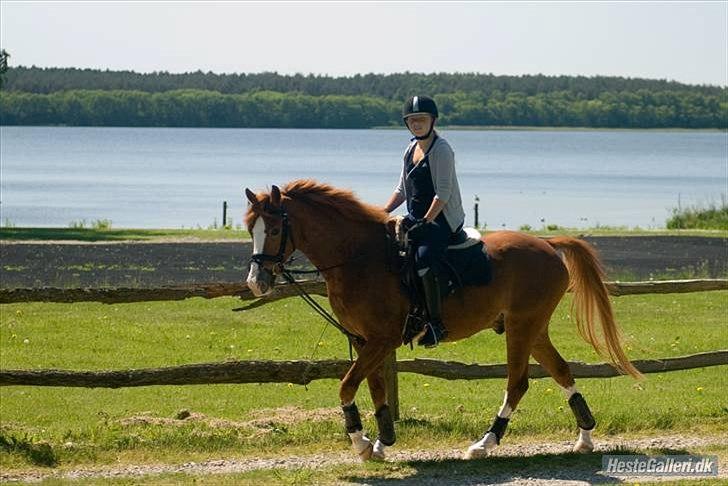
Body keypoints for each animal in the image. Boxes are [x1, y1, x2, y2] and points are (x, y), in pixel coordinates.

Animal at [245, 180, 636, 462]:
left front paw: (361, 443)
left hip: (522, 328)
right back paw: (585, 438)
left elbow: (346, 386)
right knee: (562, 371)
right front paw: (382, 441)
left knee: (518, 383)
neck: (359, 258)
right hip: (533, 329)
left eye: (275, 231)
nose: (256, 282)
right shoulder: (364, 340)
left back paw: (485, 443)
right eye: (251, 229)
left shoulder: (382, 340)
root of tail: (548, 245)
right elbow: (375, 388)